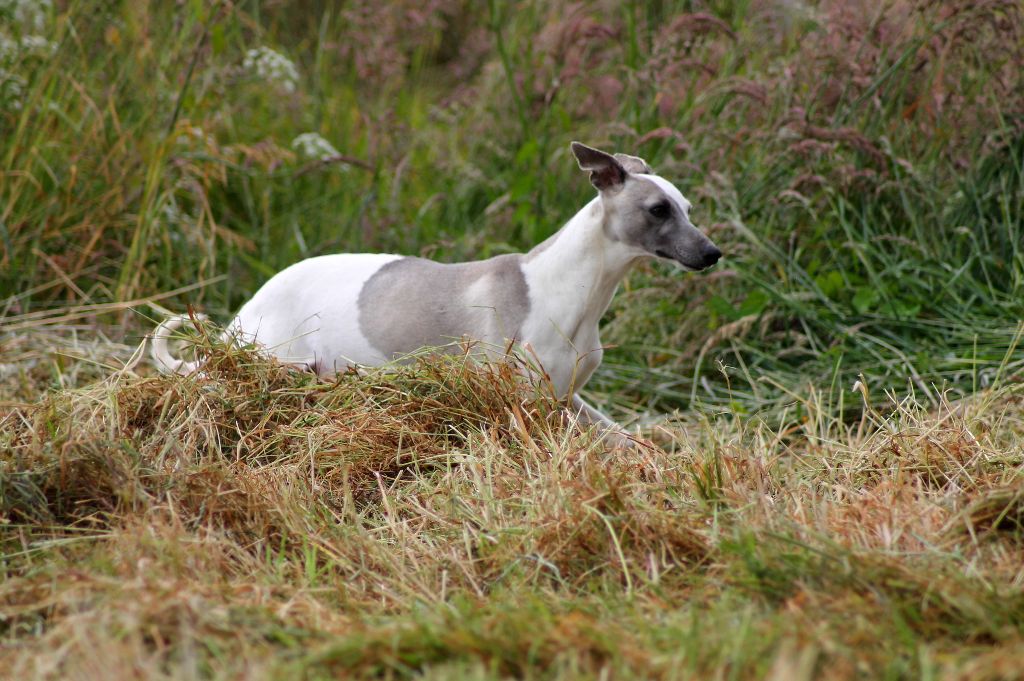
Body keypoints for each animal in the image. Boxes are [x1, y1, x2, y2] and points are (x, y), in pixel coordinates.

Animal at [155, 142, 724, 438]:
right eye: (658, 210)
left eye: (687, 208)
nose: (713, 254)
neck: (573, 290)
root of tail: (242, 317)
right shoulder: (522, 403)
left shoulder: (569, 400)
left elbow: (626, 440)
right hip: (281, 363)